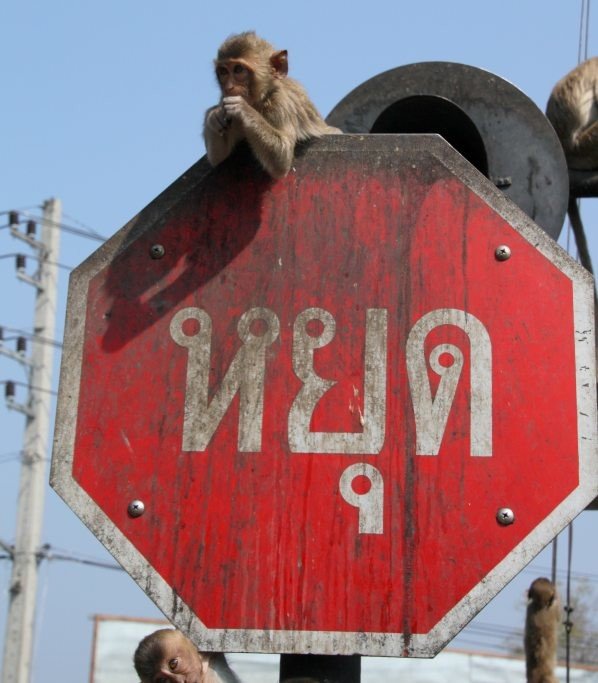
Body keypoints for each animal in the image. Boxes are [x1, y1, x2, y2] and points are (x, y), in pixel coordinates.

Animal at [204, 31, 340, 179]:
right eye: (223, 72)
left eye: (238, 69)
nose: (229, 87)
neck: (259, 101)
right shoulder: (224, 101)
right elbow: (219, 159)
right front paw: (214, 115)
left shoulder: (279, 102)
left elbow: (282, 158)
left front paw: (243, 109)